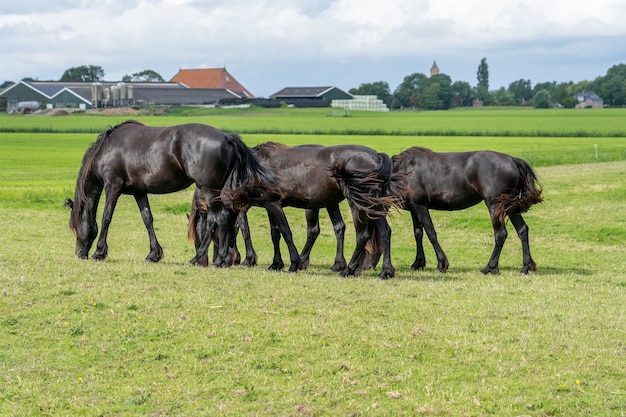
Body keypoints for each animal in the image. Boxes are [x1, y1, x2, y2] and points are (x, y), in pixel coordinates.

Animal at [64, 118, 272, 264]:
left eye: (75, 228)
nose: (79, 253)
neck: (107, 149)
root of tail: (227, 137)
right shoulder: (139, 192)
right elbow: (147, 219)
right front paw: (153, 254)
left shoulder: (112, 187)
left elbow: (106, 218)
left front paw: (99, 252)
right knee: (227, 218)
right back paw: (221, 259)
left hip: (209, 191)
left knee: (217, 219)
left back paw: (205, 258)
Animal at [189, 141, 400, 278]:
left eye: (204, 231)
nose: (203, 260)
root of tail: (378, 157)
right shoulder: (268, 206)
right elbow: (275, 234)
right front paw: (276, 263)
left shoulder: (273, 204)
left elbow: (285, 232)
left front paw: (294, 263)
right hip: (373, 205)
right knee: (384, 231)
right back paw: (385, 271)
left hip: (359, 203)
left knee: (362, 235)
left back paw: (348, 269)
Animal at [386, 148, 540, 274]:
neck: (405, 170)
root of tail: (513, 160)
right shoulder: (414, 208)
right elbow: (418, 233)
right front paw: (418, 263)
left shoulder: (420, 206)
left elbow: (431, 233)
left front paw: (441, 264)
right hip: (510, 206)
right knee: (522, 230)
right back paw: (525, 267)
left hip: (495, 206)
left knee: (500, 234)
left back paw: (489, 268)